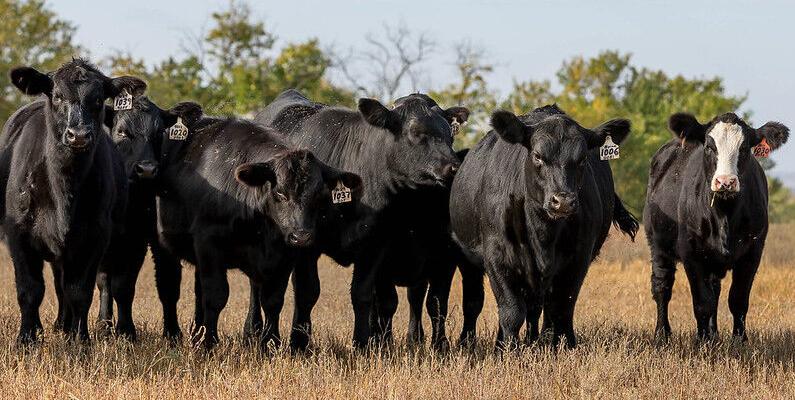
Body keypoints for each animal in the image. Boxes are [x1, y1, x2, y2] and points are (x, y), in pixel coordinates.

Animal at [0, 59, 144, 343]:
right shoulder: (17, 233)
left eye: (98, 99)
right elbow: (30, 289)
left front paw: (80, 340)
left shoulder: (95, 237)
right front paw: (27, 338)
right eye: (57, 96)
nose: (78, 135)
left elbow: (79, 292)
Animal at [94, 98, 201, 340]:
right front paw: (110, 327)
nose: (147, 169)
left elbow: (128, 286)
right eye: (122, 132)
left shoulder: (139, 240)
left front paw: (128, 331)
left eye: (159, 133)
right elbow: (106, 282)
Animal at [254, 89, 478, 349]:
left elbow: (363, 294)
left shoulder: (376, 244)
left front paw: (363, 342)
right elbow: (307, 293)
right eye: (416, 133)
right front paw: (299, 342)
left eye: (449, 135)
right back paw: (253, 330)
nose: (454, 167)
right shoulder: (305, 243)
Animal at [449, 105, 638, 349]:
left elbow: (562, 307)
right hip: (469, 261)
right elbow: (511, 311)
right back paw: (471, 343)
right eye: (537, 156)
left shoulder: (578, 259)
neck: (543, 233)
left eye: (582, 158)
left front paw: (563, 346)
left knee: (541, 308)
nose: (563, 201)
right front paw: (508, 350)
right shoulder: (496, 256)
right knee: (476, 302)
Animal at [644, 112, 788, 341]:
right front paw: (702, 341)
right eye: (710, 146)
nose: (725, 182)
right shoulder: (691, 253)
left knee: (715, 289)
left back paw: (715, 334)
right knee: (662, 287)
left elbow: (737, 299)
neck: (724, 213)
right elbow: (703, 303)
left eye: (744, 148)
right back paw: (662, 334)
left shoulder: (753, 252)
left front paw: (739, 340)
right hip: (657, 244)